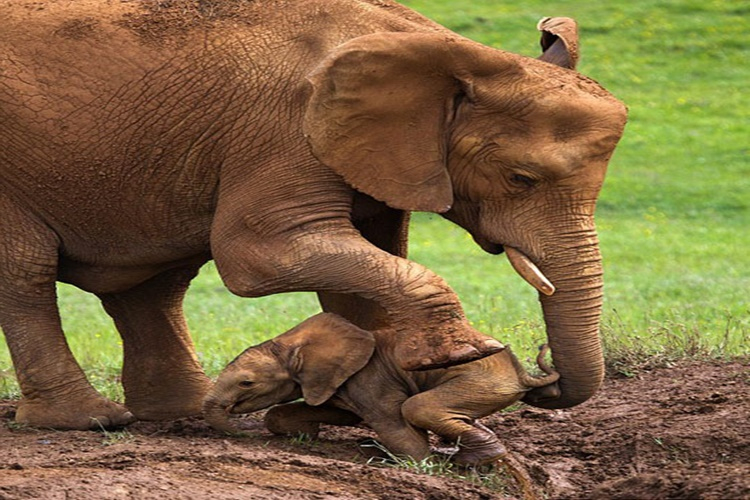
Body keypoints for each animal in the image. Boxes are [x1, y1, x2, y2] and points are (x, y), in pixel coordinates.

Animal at [0, 0, 628, 430]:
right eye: (521, 179)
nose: (543, 380)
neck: (435, 49)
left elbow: (368, 268)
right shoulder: (282, 130)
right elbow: (259, 256)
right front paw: (465, 352)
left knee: (155, 287)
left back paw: (180, 412)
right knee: (26, 271)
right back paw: (90, 421)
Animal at [204, 312, 560, 464]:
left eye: (246, 382)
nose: (242, 430)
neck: (291, 342)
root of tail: (522, 374)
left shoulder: (370, 377)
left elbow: (395, 425)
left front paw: (421, 464)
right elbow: (334, 412)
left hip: (481, 380)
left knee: (418, 408)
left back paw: (474, 458)